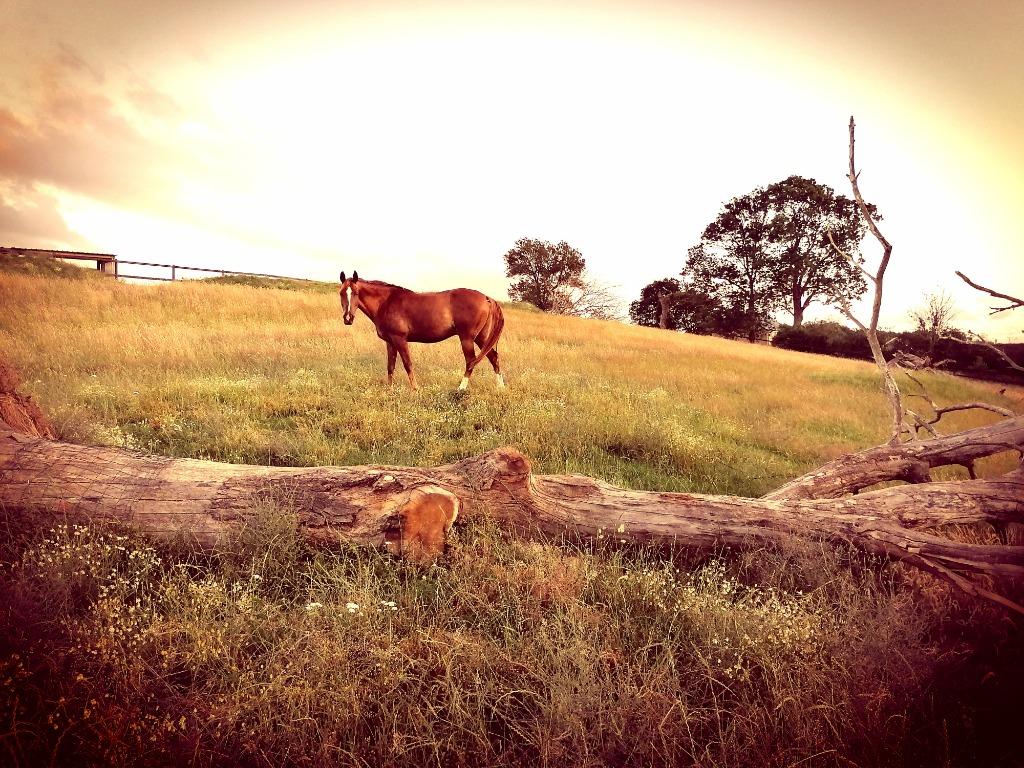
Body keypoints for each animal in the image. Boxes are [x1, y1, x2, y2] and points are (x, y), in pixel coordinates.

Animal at [339, 271, 505, 391]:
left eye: (355, 293)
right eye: (341, 293)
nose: (348, 318)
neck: (386, 302)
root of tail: (487, 298)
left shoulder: (400, 339)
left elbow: (408, 364)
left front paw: (415, 390)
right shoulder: (390, 342)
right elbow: (390, 366)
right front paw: (389, 391)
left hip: (467, 338)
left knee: (470, 361)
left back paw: (461, 389)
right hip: (481, 338)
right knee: (493, 357)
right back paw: (501, 388)